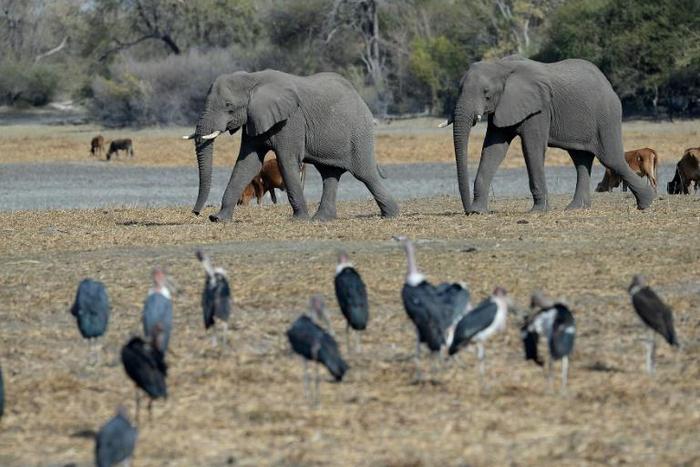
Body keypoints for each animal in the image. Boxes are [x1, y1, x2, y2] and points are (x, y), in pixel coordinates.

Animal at [184, 69, 399, 222]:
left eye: (228, 105)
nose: (196, 212)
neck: (253, 79)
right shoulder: (254, 119)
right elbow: (247, 163)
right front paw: (218, 219)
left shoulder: (291, 120)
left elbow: (286, 161)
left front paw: (298, 219)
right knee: (329, 174)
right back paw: (321, 219)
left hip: (359, 133)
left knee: (366, 174)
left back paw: (391, 214)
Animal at [444, 55, 655, 213]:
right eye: (459, 89)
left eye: (486, 94)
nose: (467, 210)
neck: (502, 66)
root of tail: (609, 85)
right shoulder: (504, 106)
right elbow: (493, 149)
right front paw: (478, 212)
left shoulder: (539, 109)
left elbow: (532, 147)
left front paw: (537, 211)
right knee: (581, 159)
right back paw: (576, 208)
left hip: (606, 116)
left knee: (611, 158)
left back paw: (646, 202)